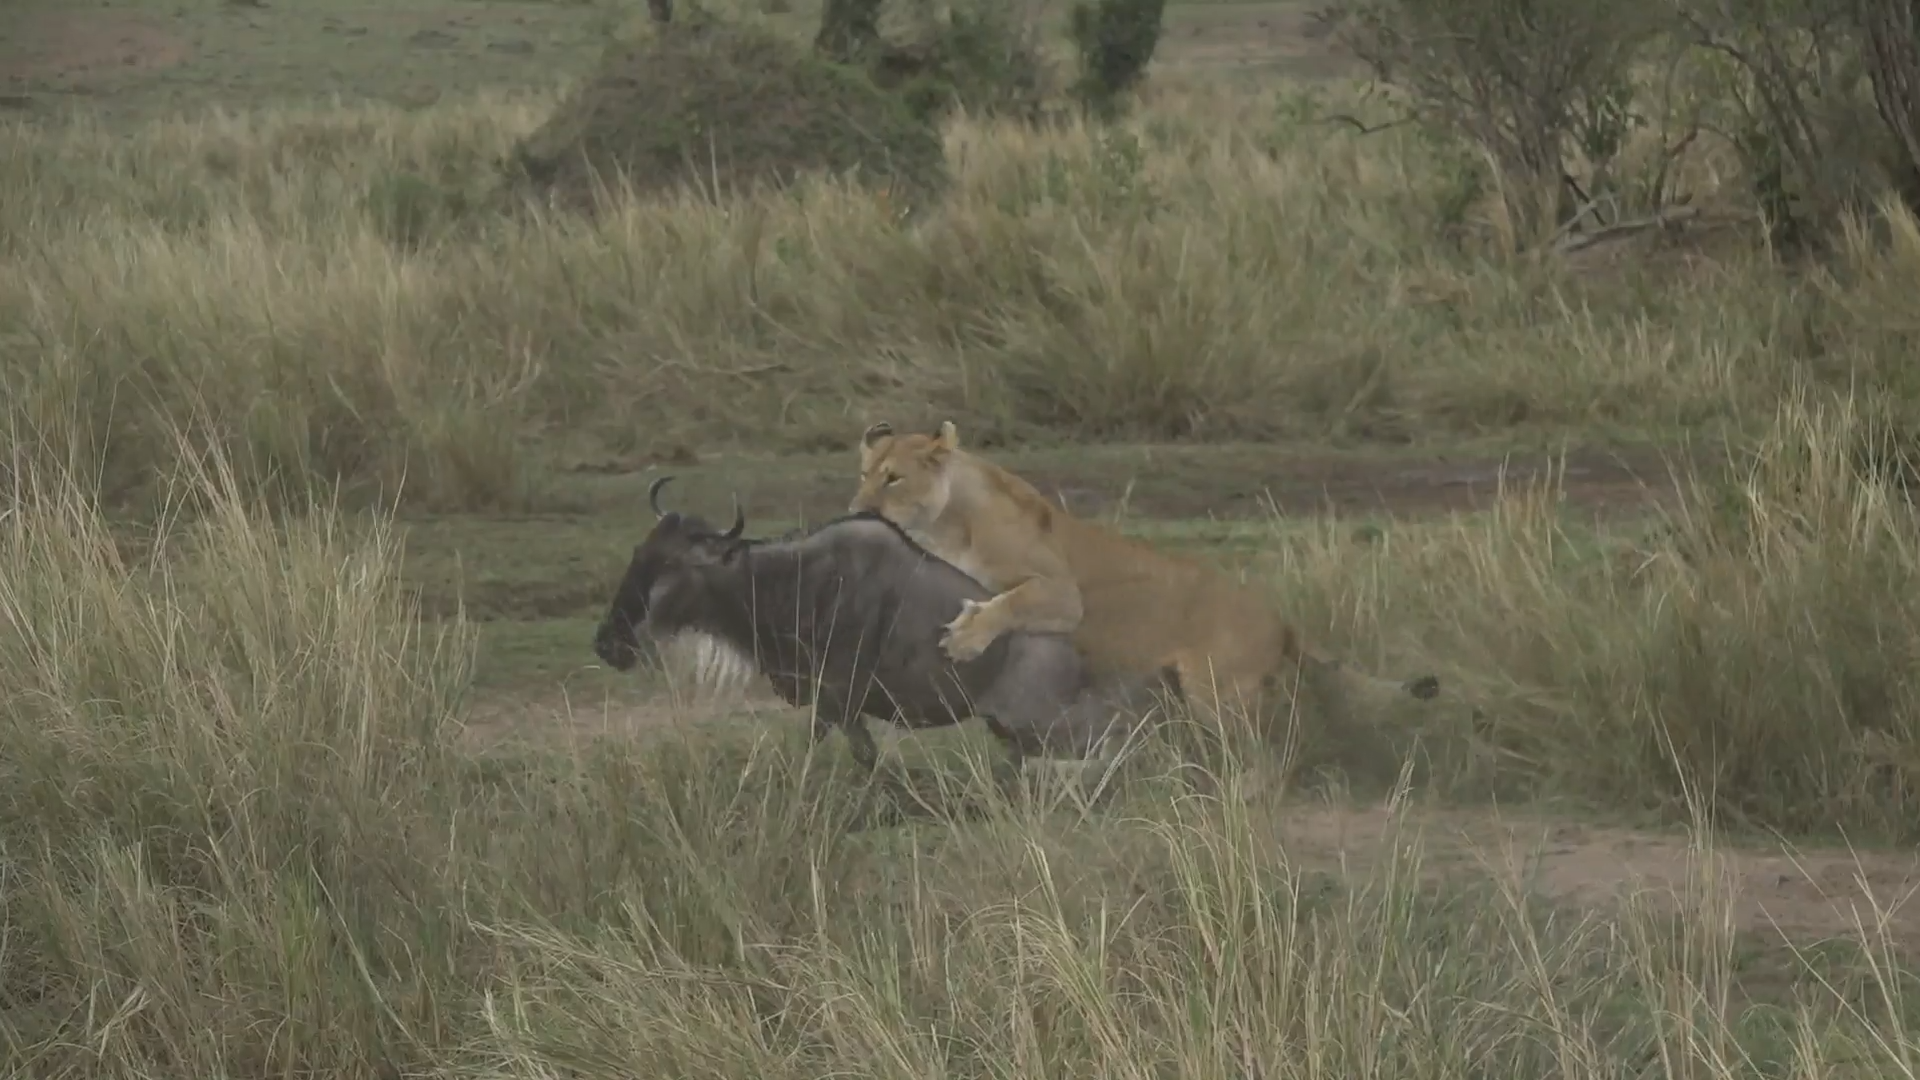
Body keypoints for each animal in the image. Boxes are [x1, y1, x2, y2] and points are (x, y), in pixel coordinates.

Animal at [848, 420, 1441, 751]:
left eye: (893, 478)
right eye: (863, 474)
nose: (854, 510)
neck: (948, 522)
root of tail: (1279, 618)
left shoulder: (1063, 594)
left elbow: (1010, 601)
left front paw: (968, 636)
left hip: (1218, 692)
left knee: (1273, 745)